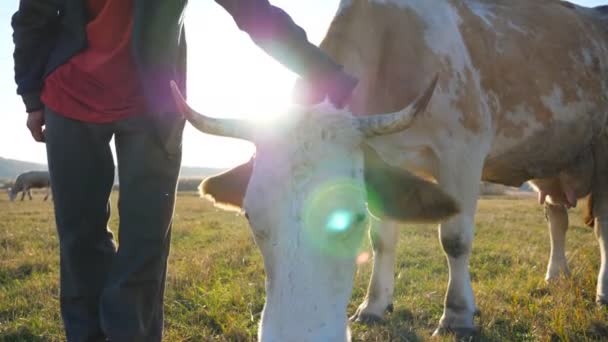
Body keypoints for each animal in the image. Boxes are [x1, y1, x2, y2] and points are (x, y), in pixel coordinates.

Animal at [176, 0, 608, 340]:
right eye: (251, 216)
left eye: (349, 216)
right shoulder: (383, 159)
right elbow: (383, 239)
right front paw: (373, 305)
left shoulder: (462, 151)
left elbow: (454, 239)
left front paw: (458, 315)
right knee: (557, 218)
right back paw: (556, 276)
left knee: (603, 226)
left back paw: (602, 290)